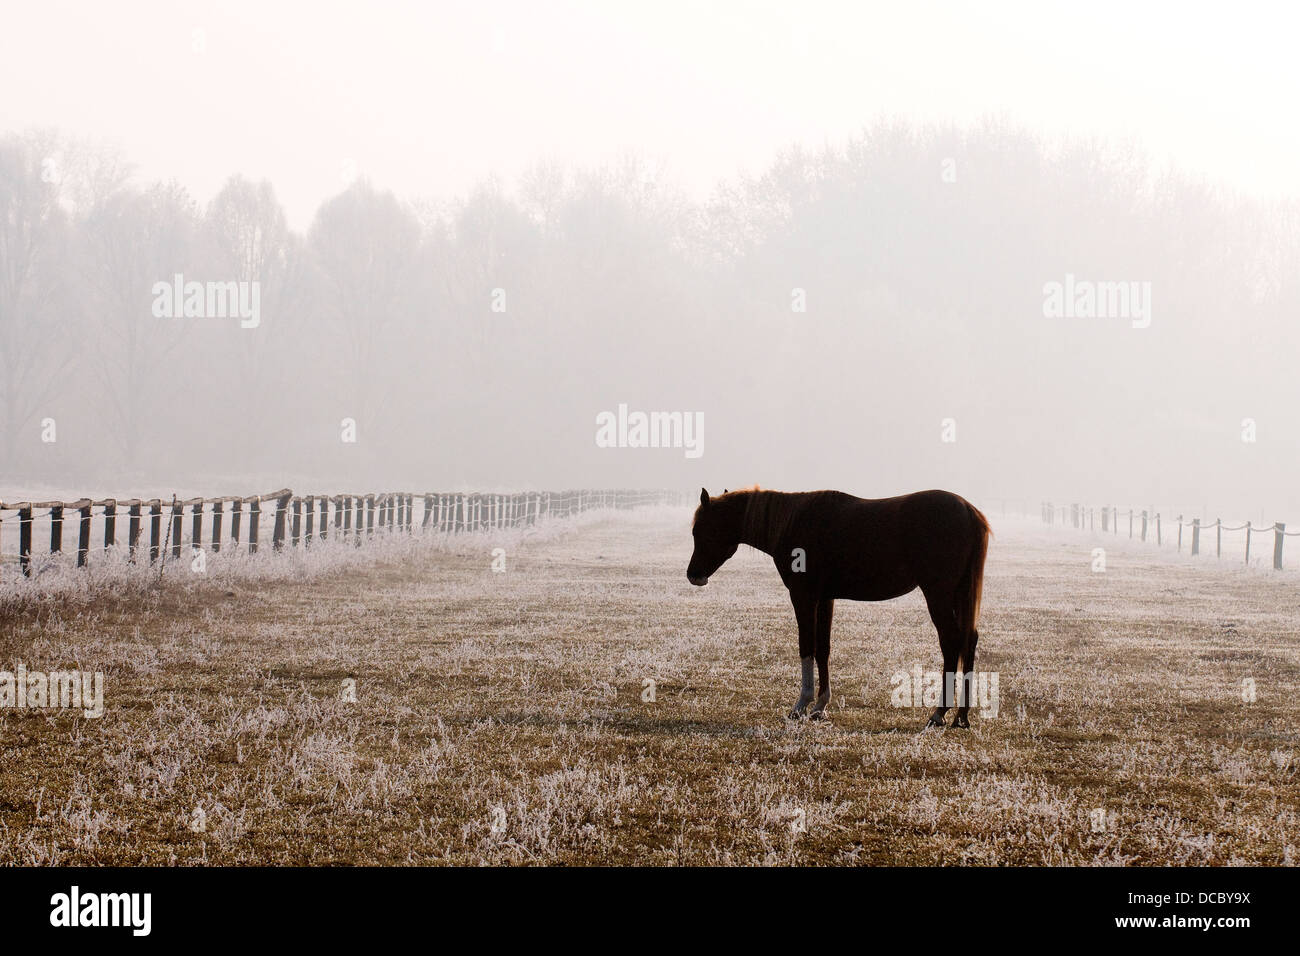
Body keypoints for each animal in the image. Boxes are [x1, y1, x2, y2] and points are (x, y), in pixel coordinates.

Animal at [686, 487, 990, 728]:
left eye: (702, 530)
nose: (693, 575)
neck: (793, 522)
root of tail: (968, 511)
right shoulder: (825, 598)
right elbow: (823, 649)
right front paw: (820, 707)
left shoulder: (803, 596)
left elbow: (806, 646)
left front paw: (801, 705)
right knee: (968, 640)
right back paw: (961, 716)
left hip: (938, 594)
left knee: (951, 642)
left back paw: (940, 713)